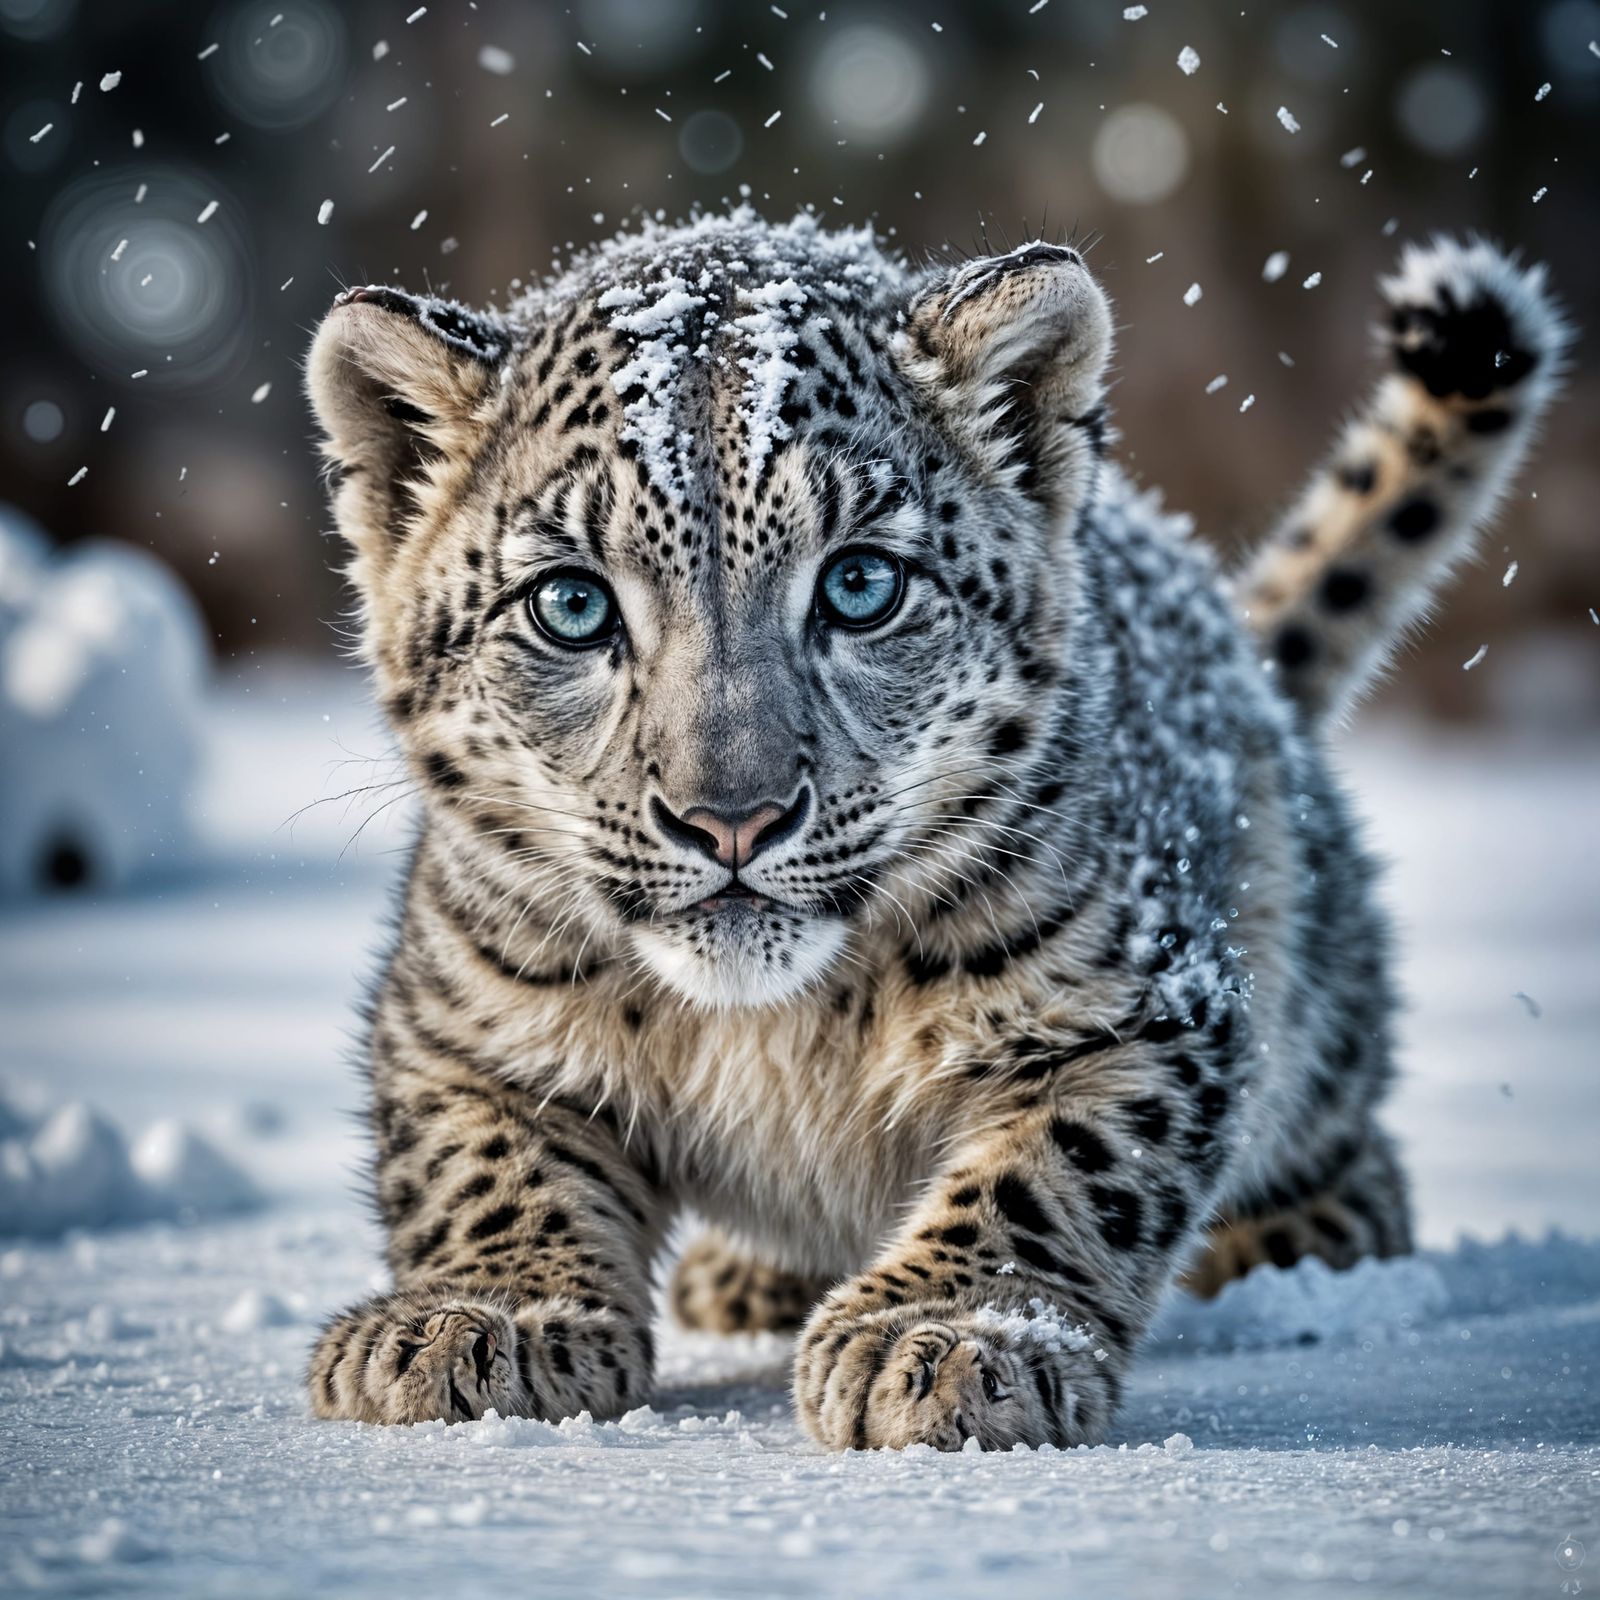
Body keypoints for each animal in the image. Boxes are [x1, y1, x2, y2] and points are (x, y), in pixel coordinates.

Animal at [302, 211, 1565, 1450]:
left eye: (861, 584)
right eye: (570, 603)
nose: (731, 819)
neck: (772, 1030)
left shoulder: (1137, 1003)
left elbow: (1056, 1168)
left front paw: (949, 1336)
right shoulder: (467, 1015)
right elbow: (484, 1164)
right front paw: (475, 1319)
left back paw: (1303, 1231)